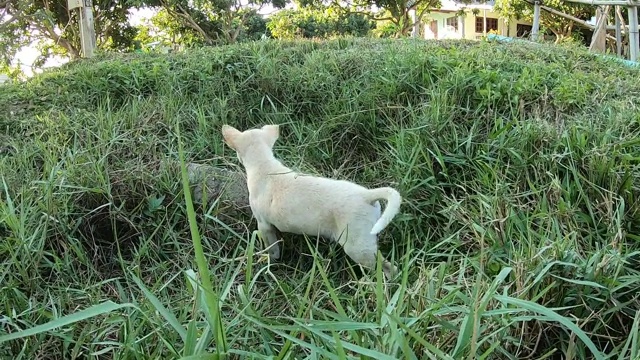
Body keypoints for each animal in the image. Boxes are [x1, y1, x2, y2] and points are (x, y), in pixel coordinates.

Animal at [220, 124, 400, 278]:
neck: (264, 165)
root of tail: (367, 195)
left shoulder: (263, 225)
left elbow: (272, 247)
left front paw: (271, 261)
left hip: (357, 247)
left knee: (388, 268)